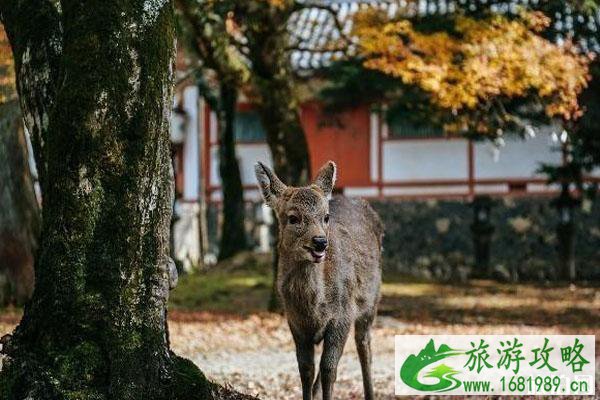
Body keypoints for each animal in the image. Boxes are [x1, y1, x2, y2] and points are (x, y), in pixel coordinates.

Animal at [255, 160, 382, 400]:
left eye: (326, 217)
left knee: (364, 345)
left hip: (371, 300)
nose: (320, 242)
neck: (314, 308)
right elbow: (306, 369)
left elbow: (329, 369)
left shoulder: (342, 316)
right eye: (293, 218)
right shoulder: (295, 322)